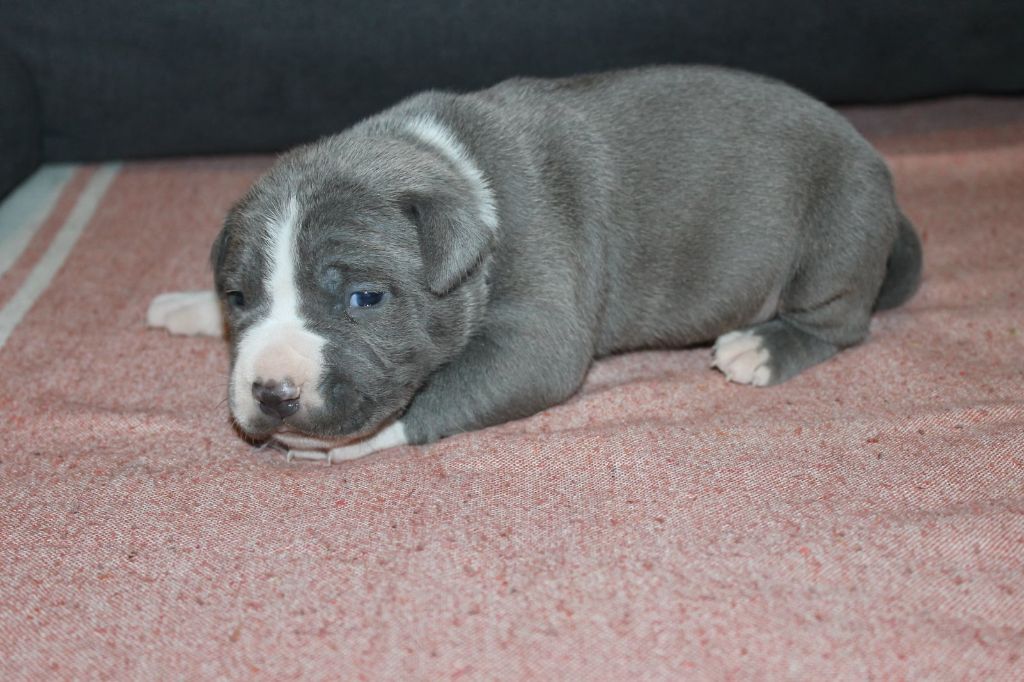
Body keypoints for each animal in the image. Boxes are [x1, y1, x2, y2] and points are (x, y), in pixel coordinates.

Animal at [148, 65, 925, 462]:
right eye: (239, 297)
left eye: (365, 299)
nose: (273, 394)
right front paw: (188, 305)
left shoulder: (537, 341)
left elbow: (442, 393)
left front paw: (334, 446)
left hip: (833, 235)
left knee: (839, 323)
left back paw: (760, 349)